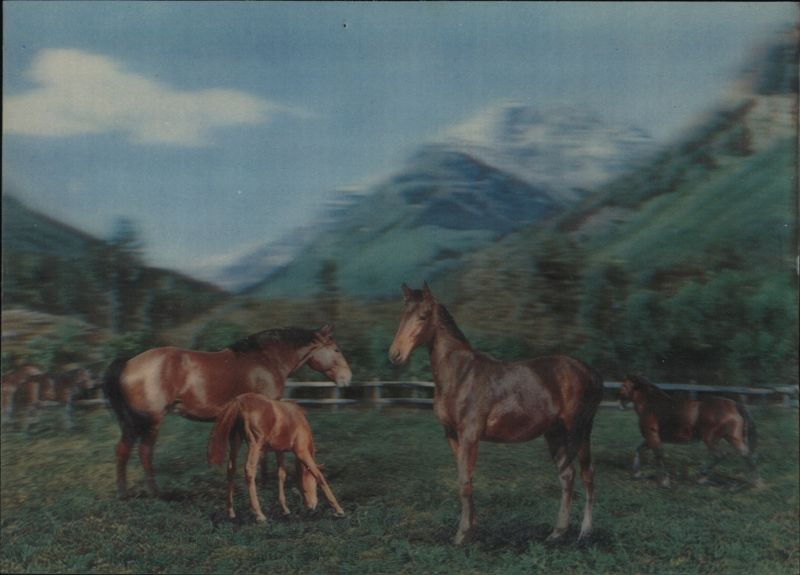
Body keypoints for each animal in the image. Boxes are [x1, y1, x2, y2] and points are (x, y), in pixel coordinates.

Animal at [103, 325, 351, 499]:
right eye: (336, 349)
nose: (347, 378)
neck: (266, 359)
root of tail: (128, 362)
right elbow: (263, 453)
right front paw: (265, 483)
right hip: (150, 421)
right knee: (144, 452)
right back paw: (156, 493)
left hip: (131, 423)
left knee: (122, 450)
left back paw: (123, 494)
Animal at [208, 392, 345, 522]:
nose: (310, 506)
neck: (297, 420)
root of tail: (239, 401)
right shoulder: (301, 452)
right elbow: (319, 475)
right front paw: (338, 510)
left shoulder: (279, 451)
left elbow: (281, 475)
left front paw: (285, 509)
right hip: (255, 445)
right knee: (249, 469)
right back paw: (259, 514)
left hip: (235, 441)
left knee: (231, 469)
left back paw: (231, 512)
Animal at [388, 283, 604, 545]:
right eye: (403, 316)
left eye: (423, 316)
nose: (395, 354)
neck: (461, 375)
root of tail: (590, 372)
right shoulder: (452, 436)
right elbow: (465, 478)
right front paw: (472, 526)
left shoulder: (470, 435)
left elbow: (464, 480)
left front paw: (461, 534)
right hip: (555, 434)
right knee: (568, 475)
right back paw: (558, 532)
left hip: (579, 431)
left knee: (586, 474)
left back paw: (585, 532)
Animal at [618, 374, 762, 488]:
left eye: (624, 385)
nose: (619, 400)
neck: (652, 405)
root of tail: (734, 404)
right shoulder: (651, 438)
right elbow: (639, 450)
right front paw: (636, 473)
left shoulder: (652, 435)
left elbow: (658, 455)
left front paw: (664, 481)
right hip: (728, 437)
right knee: (744, 454)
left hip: (713, 438)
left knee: (725, 455)